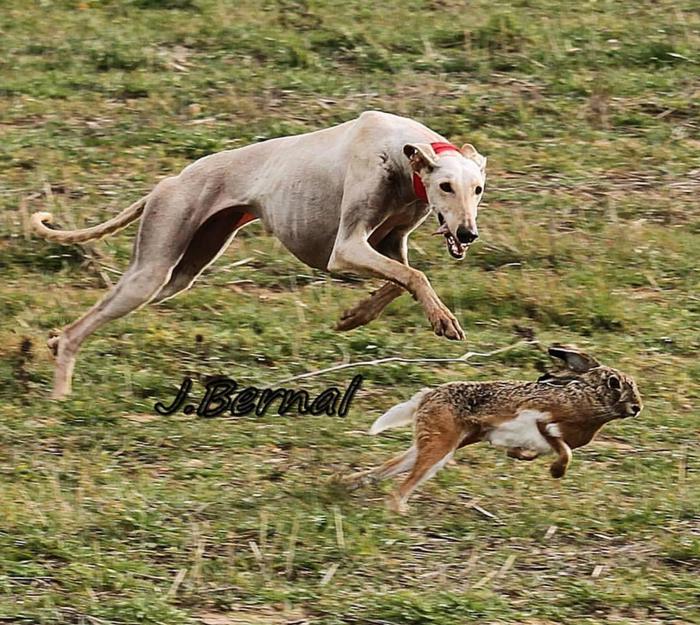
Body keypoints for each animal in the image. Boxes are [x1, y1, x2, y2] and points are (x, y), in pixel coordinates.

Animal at [30, 109, 484, 398]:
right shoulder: (346, 248)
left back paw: (52, 343)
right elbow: (414, 276)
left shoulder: (389, 243)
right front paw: (443, 320)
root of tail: (167, 183)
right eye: (445, 187)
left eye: (478, 189)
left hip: (181, 271)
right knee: (82, 326)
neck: (402, 152)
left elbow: (400, 280)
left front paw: (356, 315)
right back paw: (61, 383)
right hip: (152, 267)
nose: (467, 233)